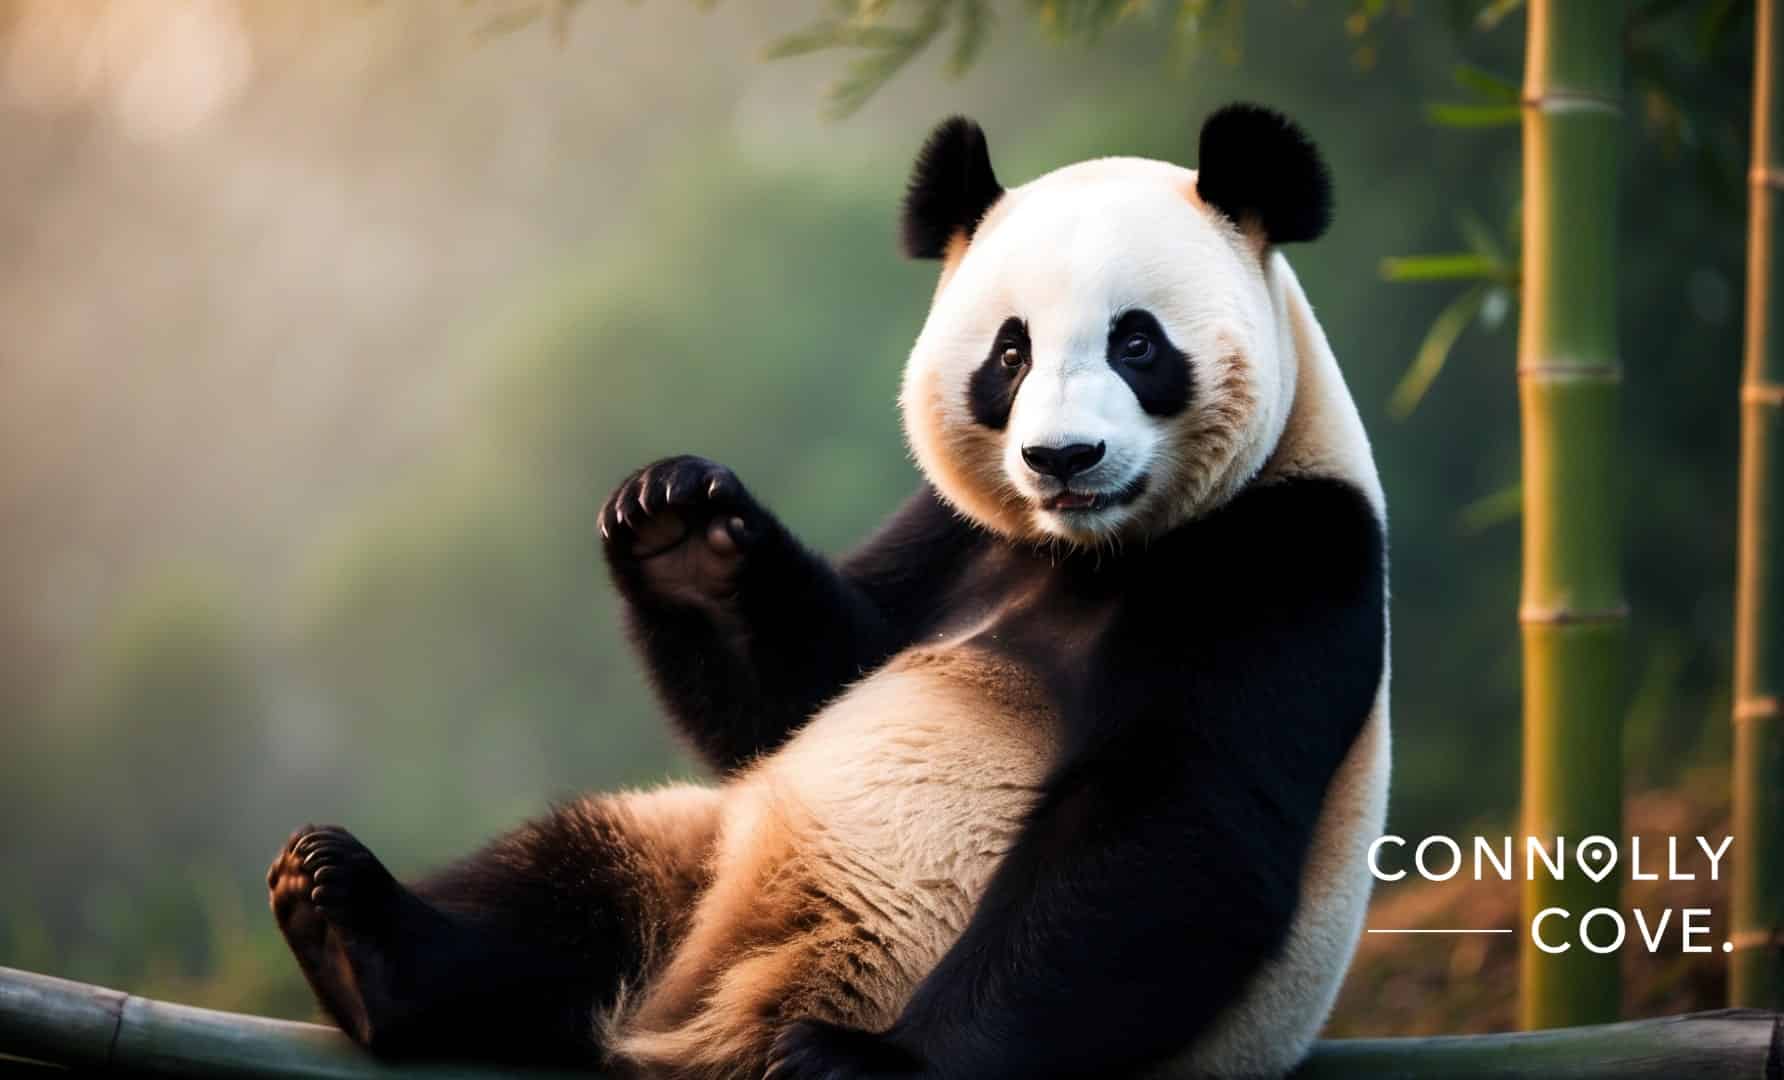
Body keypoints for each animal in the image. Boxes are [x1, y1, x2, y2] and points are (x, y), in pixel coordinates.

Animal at [267, 103, 1389, 1080]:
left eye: (1137, 342)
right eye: (1011, 352)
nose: (1062, 458)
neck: (1084, 552)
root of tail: (683, 1018)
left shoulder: (1287, 554)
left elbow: (1170, 828)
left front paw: (873, 1064)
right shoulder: (954, 537)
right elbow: (803, 687)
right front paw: (677, 525)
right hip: (692, 853)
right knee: (567, 878)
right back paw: (356, 932)